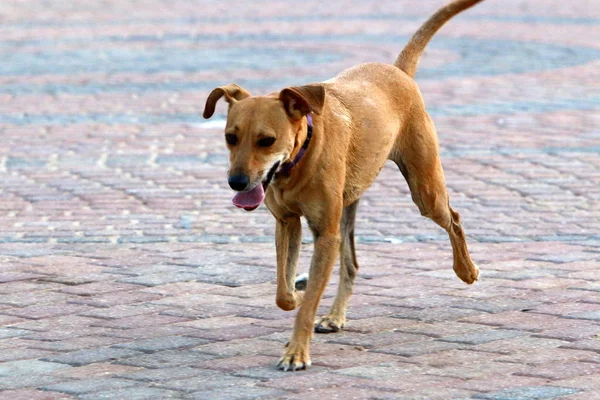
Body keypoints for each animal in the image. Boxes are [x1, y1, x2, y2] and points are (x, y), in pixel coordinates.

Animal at [202, 0, 482, 372]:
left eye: (267, 140)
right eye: (230, 137)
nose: (236, 182)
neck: (301, 156)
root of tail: (399, 71)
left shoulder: (326, 234)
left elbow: (305, 306)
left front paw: (296, 352)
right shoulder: (288, 223)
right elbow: (283, 293)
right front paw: (298, 291)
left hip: (425, 192)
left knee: (454, 217)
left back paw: (466, 270)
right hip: (348, 207)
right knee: (350, 264)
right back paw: (334, 316)